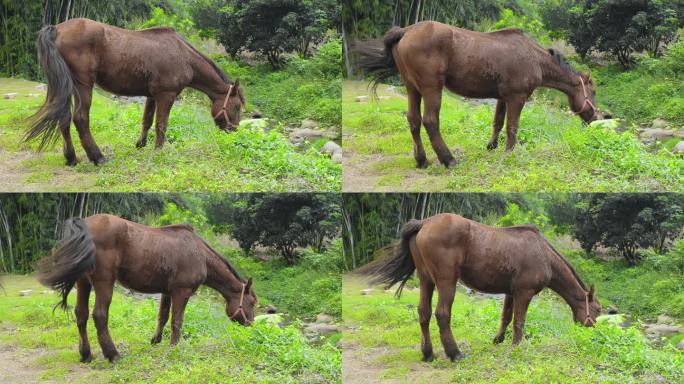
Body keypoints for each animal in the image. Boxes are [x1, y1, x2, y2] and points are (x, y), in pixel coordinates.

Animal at [26, 18, 246, 166]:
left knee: (63, 118)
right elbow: (161, 124)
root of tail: (57, 29)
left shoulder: (152, 96)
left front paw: (141, 144)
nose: (234, 131)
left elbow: (146, 120)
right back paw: (98, 157)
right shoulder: (166, 96)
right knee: (80, 118)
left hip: (62, 87)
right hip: (83, 85)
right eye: (236, 107)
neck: (183, 56)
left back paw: (71, 157)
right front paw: (158, 151)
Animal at [37, 214, 256, 362]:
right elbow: (177, 321)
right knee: (99, 316)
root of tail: (86, 224)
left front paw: (156, 340)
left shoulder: (168, 292)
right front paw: (174, 347)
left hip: (83, 283)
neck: (199, 254)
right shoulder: (182, 293)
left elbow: (163, 316)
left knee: (81, 315)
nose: (251, 325)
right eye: (252, 302)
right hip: (103, 283)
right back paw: (113, 354)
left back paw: (86, 354)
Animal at [356, 21, 600, 168]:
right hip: (431, 88)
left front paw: (492, 146)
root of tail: (406, 31)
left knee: (413, 121)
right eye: (594, 92)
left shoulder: (503, 97)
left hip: (412, 89)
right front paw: (510, 152)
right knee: (430, 121)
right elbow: (512, 126)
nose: (597, 117)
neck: (534, 58)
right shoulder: (517, 97)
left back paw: (422, 159)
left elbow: (498, 122)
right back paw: (448, 159)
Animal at [360, 214, 600, 362]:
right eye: (597, 310)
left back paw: (428, 353)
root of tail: (425, 222)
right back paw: (455, 353)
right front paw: (517, 346)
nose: (592, 331)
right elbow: (519, 321)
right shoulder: (524, 293)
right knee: (442, 314)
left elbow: (506, 317)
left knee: (424, 313)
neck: (543, 254)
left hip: (426, 280)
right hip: (446, 282)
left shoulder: (511, 293)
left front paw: (498, 339)